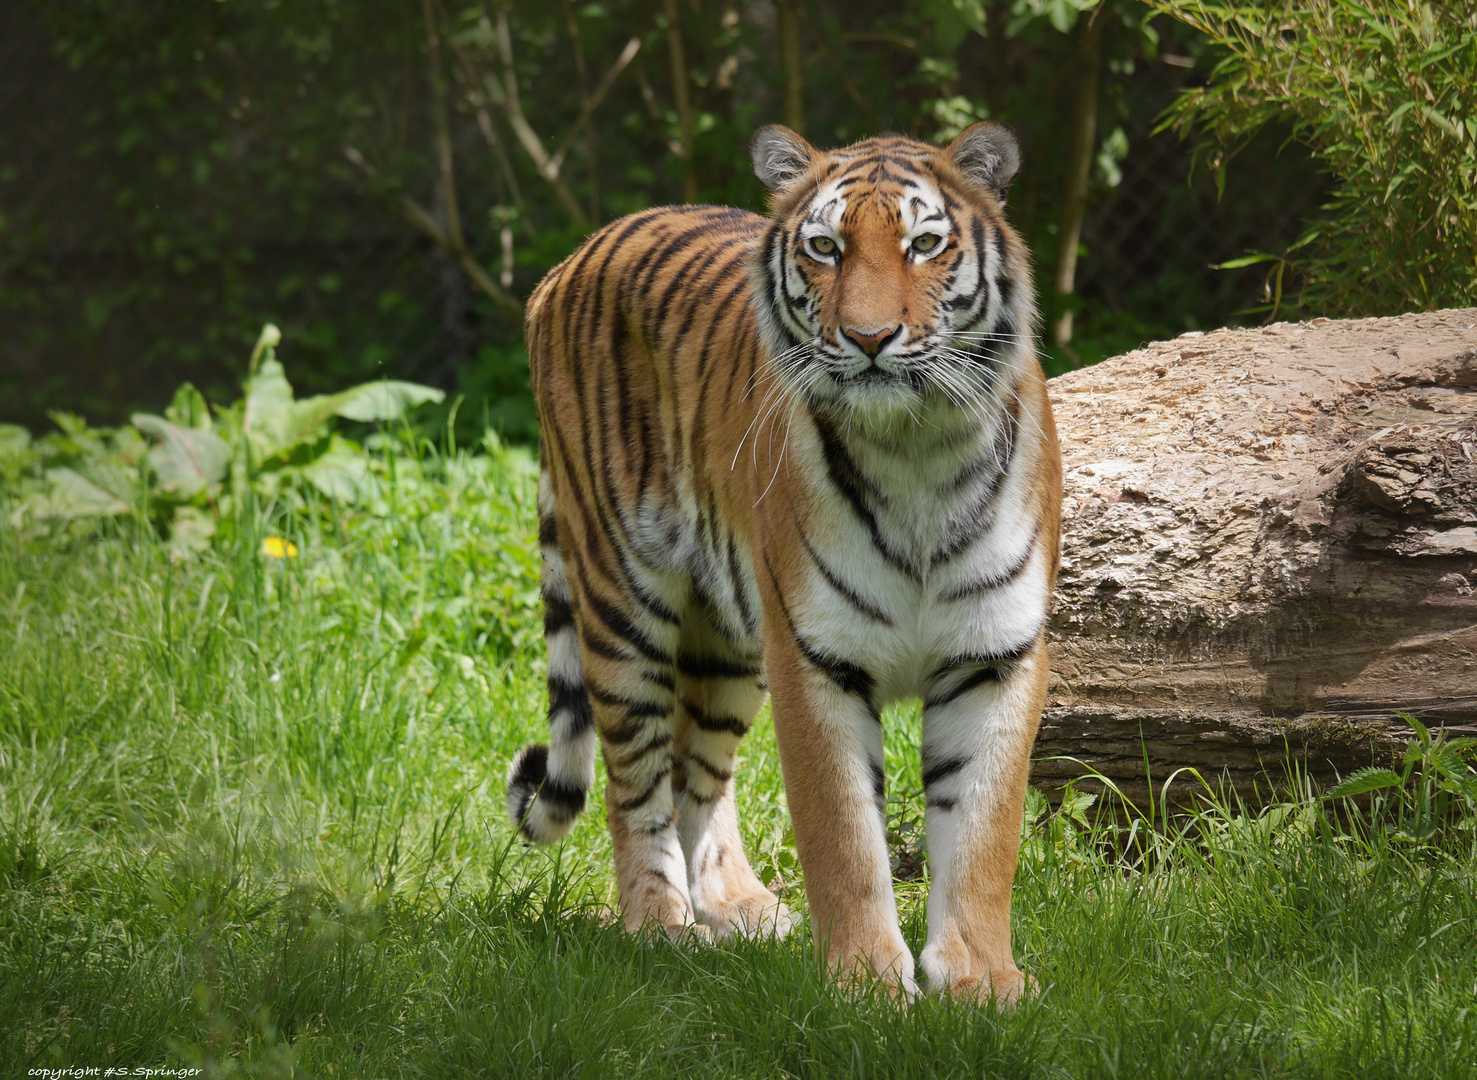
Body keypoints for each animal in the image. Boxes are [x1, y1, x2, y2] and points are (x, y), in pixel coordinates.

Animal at [511, 120, 1063, 1004]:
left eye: (924, 244)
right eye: (825, 248)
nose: (869, 340)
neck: (918, 448)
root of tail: (569, 261)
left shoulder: (994, 654)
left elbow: (983, 832)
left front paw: (982, 980)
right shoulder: (815, 656)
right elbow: (845, 838)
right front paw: (867, 986)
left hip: (728, 635)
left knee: (694, 769)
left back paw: (739, 908)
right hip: (624, 599)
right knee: (635, 779)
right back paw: (658, 927)